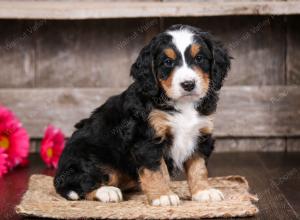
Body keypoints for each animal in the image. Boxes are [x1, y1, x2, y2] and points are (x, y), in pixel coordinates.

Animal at [54, 24, 230, 206]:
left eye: (199, 58)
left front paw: (203, 191)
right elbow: (156, 170)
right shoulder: (146, 139)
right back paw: (107, 191)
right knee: (76, 185)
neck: (183, 104)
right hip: (89, 156)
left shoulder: (201, 133)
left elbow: (199, 167)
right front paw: (163, 195)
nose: (188, 84)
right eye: (167, 62)